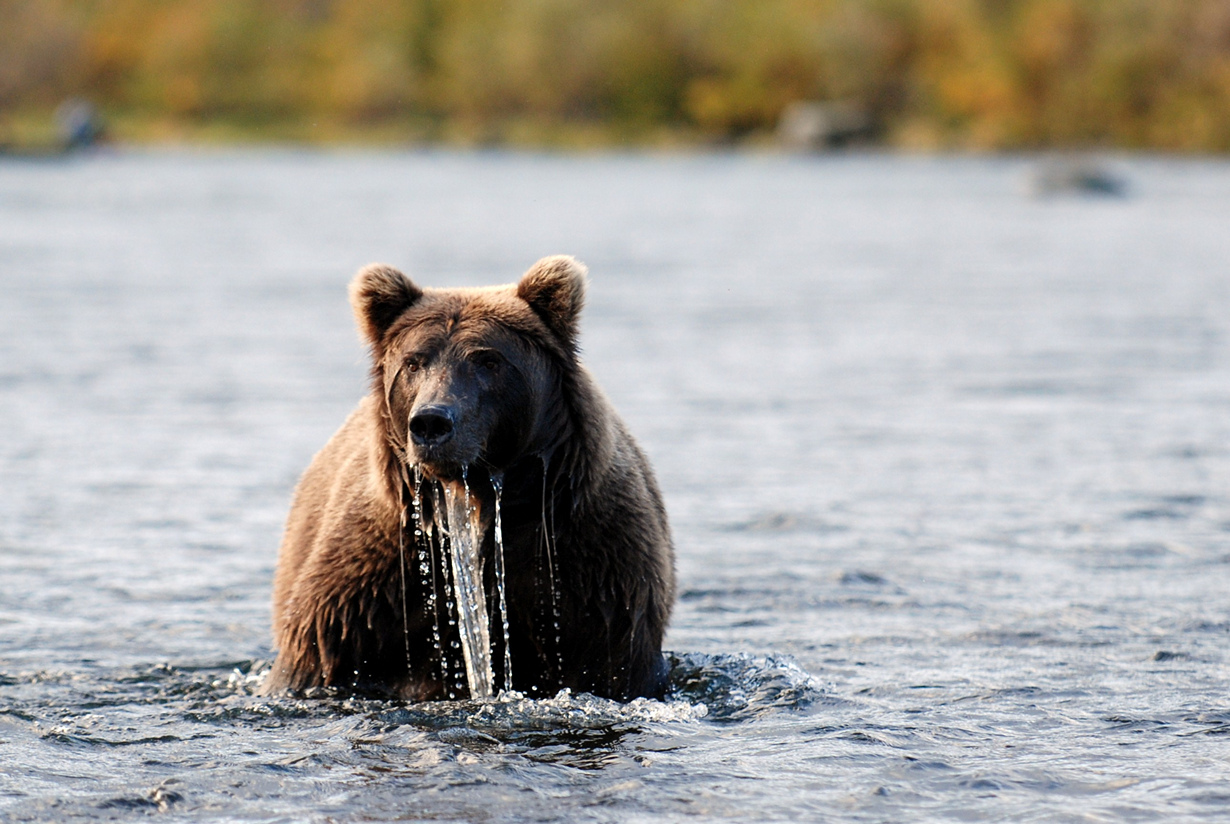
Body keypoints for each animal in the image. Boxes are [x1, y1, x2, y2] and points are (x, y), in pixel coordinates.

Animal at [263, 254, 678, 698]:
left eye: (488, 360)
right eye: (414, 361)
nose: (430, 423)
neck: (479, 496)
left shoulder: (593, 577)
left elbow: (610, 663)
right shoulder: (370, 594)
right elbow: (320, 658)